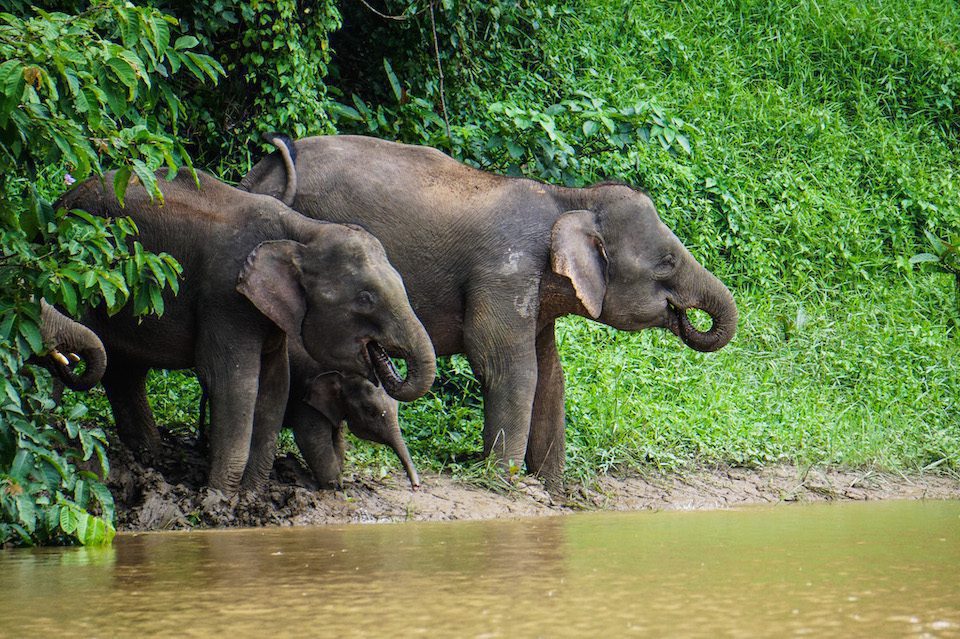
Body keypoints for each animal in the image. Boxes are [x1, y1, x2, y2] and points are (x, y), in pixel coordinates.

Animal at [57, 168, 436, 493]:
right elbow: (233, 381)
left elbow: (274, 384)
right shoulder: (225, 297)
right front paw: (219, 500)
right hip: (77, 272)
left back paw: (149, 459)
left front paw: (250, 495)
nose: (416, 487)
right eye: (365, 298)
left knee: (125, 371)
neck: (302, 231)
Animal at [241, 134, 738, 489]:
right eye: (667, 263)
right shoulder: (506, 270)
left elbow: (550, 376)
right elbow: (508, 366)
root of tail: (257, 175)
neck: (569, 197)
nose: (688, 314)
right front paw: (505, 482)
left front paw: (554, 491)